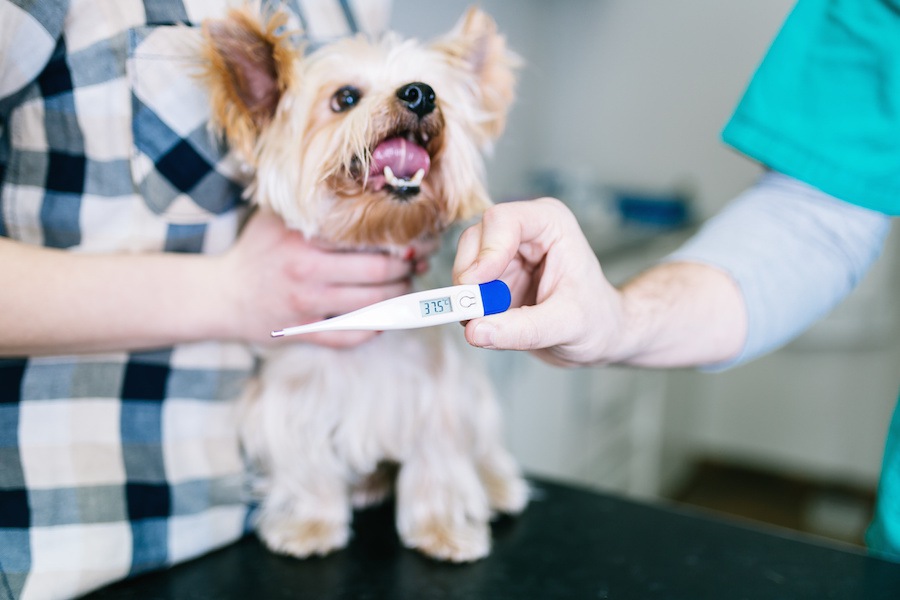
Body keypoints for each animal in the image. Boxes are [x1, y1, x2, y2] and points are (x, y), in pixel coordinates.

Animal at [200, 3, 524, 564]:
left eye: (433, 90)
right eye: (345, 98)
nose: (420, 94)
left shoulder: (439, 395)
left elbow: (438, 463)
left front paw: (442, 530)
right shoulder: (292, 396)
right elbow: (306, 465)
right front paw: (309, 526)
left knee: (484, 449)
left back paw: (499, 486)